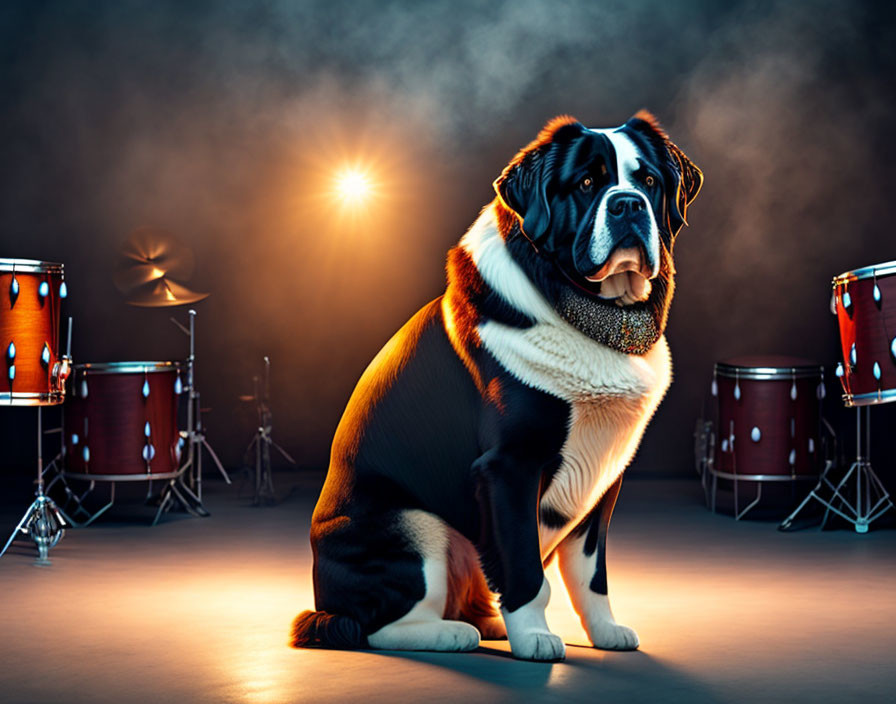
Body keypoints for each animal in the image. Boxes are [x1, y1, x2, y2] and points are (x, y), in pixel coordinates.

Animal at [292, 110, 700, 660]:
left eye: (649, 182)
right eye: (587, 183)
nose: (628, 203)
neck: (589, 311)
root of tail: (324, 597)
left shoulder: (603, 477)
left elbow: (590, 573)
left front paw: (606, 631)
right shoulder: (509, 467)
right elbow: (526, 568)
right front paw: (537, 641)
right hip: (414, 526)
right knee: (375, 625)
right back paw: (450, 633)